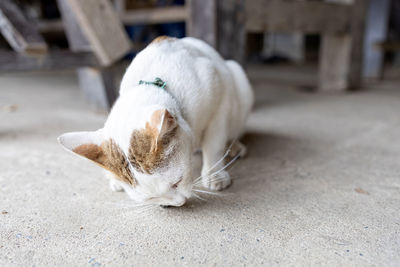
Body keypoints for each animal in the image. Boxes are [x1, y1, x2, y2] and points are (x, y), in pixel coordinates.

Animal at [58, 36, 253, 207]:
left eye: (177, 182)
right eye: (151, 198)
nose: (176, 204)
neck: (155, 82)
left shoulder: (220, 96)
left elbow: (214, 144)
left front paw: (214, 175)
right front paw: (114, 179)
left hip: (237, 75)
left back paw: (235, 147)